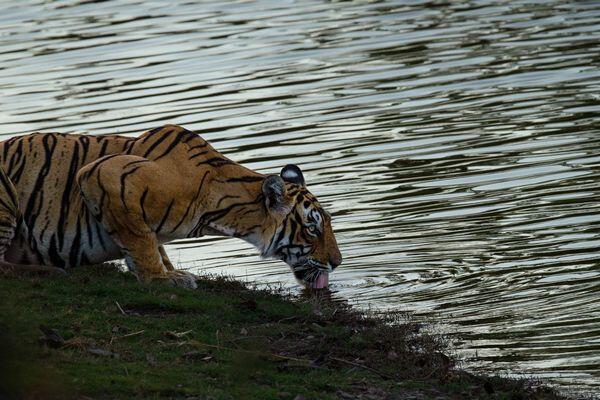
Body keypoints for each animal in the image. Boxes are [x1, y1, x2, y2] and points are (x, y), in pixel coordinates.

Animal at [0, 124, 342, 288]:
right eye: (312, 229)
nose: (337, 263)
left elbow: (154, 243)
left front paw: (171, 271)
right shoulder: (105, 174)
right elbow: (141, 240)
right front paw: (161, 279)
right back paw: (50, 271)